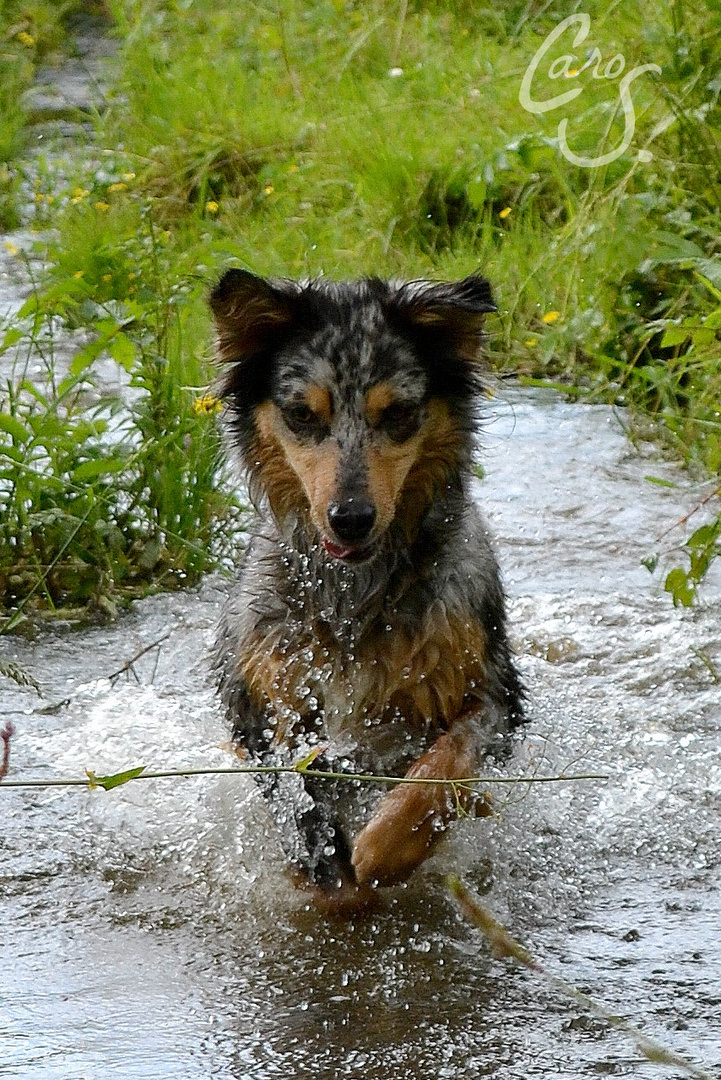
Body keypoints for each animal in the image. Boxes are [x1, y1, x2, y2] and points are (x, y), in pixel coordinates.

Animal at [208, 267, 524, 902]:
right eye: (303, 415)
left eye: (396, 412)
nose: (349, 518)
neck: (354, 596)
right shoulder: (252, 685)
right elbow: (287, 777)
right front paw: (319, 854)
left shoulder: (495, 691)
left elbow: (441, 770)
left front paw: (382, 853)